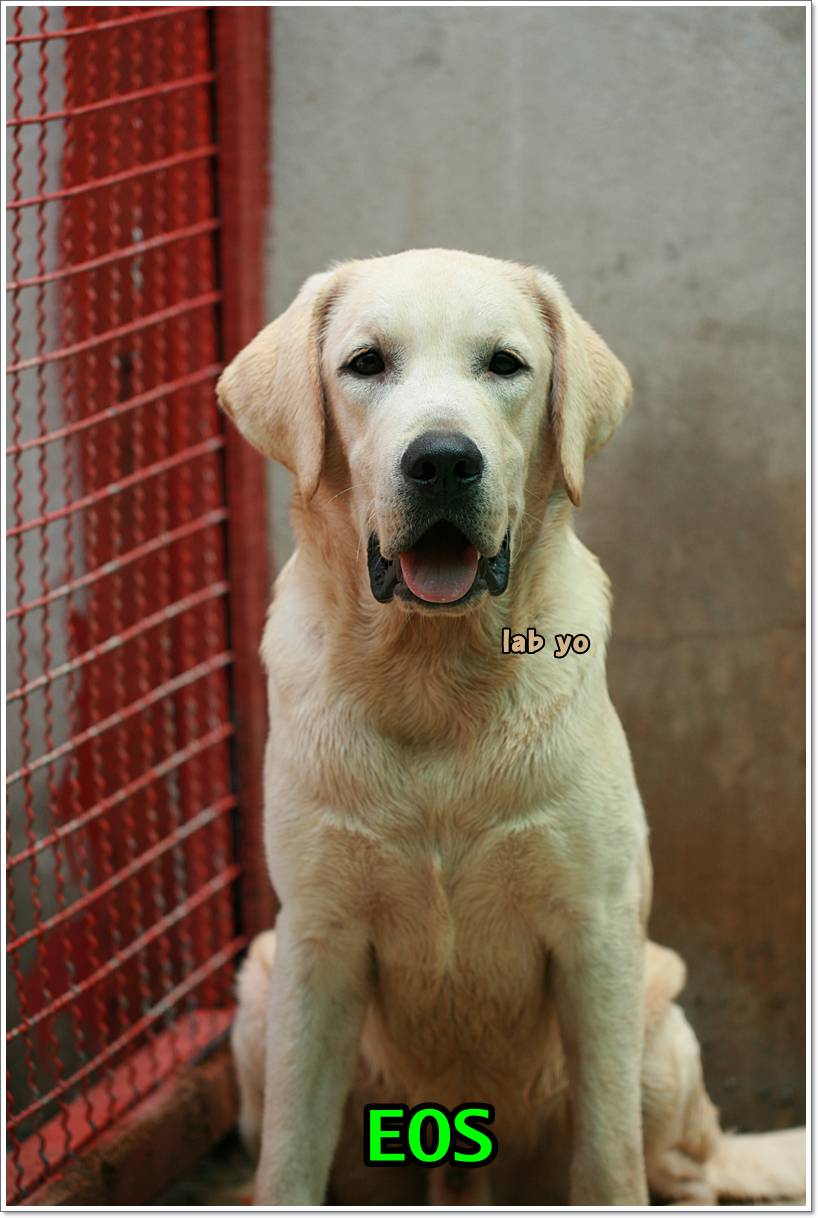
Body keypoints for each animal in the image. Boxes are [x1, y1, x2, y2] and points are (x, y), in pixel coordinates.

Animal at [219, 249, 804, 1206]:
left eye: (504, 364)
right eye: (365, 363)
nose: (442, 461)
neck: (433, 676)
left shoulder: (596, 932)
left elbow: (608, 1162)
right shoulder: (315, 942)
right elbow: (289, 1165)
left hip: (659, 1028)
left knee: (683, 1169)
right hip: (261, 988)